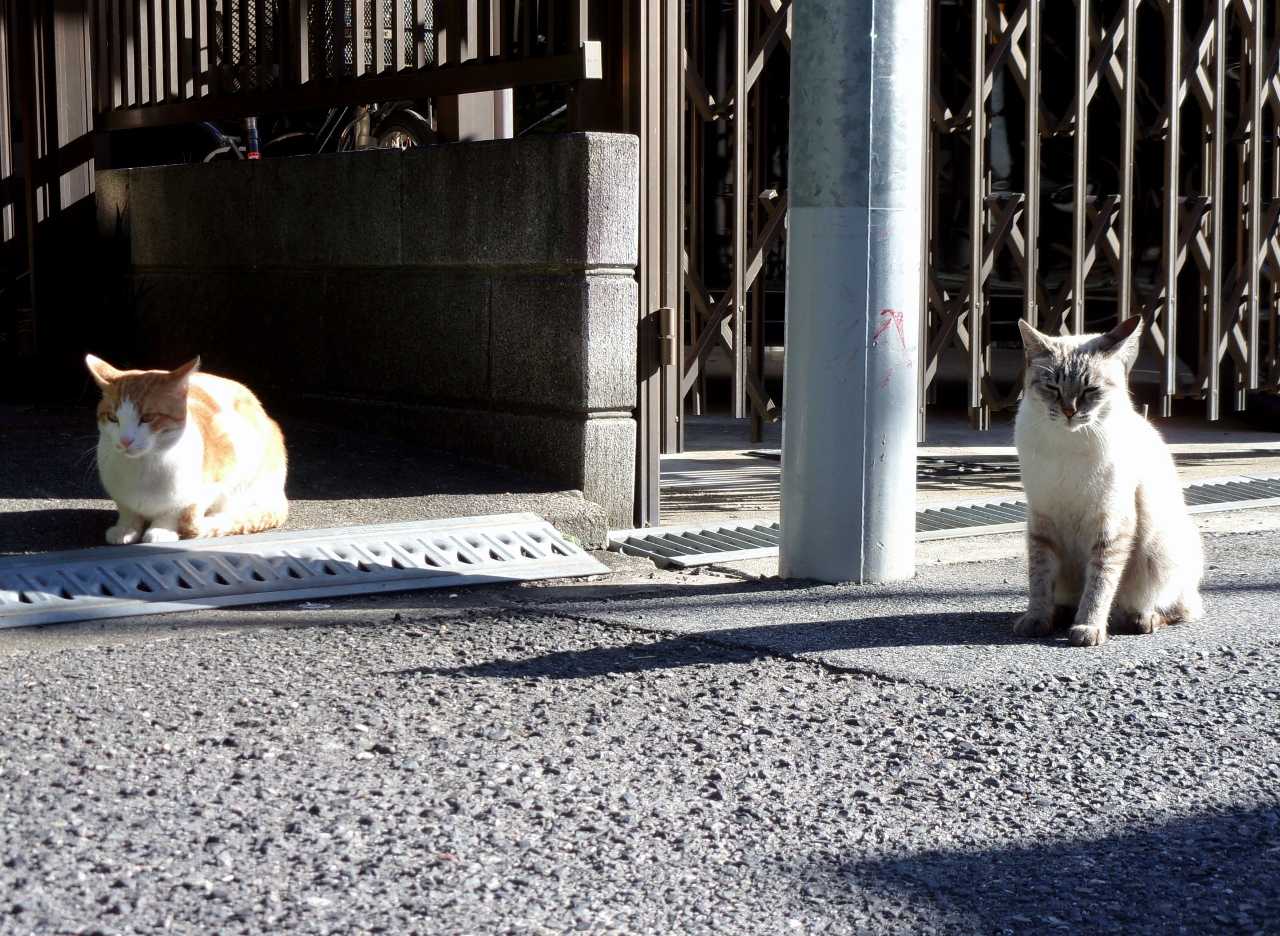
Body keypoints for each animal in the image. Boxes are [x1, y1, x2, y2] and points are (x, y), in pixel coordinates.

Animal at [87, 350, 290, 542]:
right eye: (113, 418)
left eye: (148, 418)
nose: (125, 440)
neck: (141, 468)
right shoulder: (120, 497)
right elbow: (128, 512)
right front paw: (125, 529)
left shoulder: (212, 483)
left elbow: (176, 511)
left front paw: (162, 530)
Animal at [1013, 318, 1203, 647]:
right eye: (1052, 388)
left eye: (1090, 389)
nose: (1069, 411)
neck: (1067, 445)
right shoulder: (1041, 522)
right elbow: (1039, 580)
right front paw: (1036, 619)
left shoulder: (1110, 525)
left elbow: (1099, 584)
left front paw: (1088, 628)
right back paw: (1060, 615)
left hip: (1161, 551)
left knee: (1181, 608)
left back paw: (1142, 619)